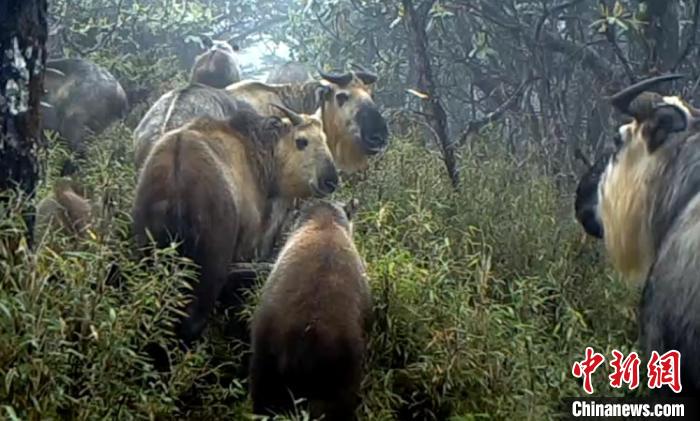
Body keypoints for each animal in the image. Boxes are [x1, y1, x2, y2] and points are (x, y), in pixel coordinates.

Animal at [133, 104, 340, 342]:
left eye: (325, 138)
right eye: (301, 141)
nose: (331, 180)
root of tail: (176, 176)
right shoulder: (245, 249)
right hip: (211, 264)